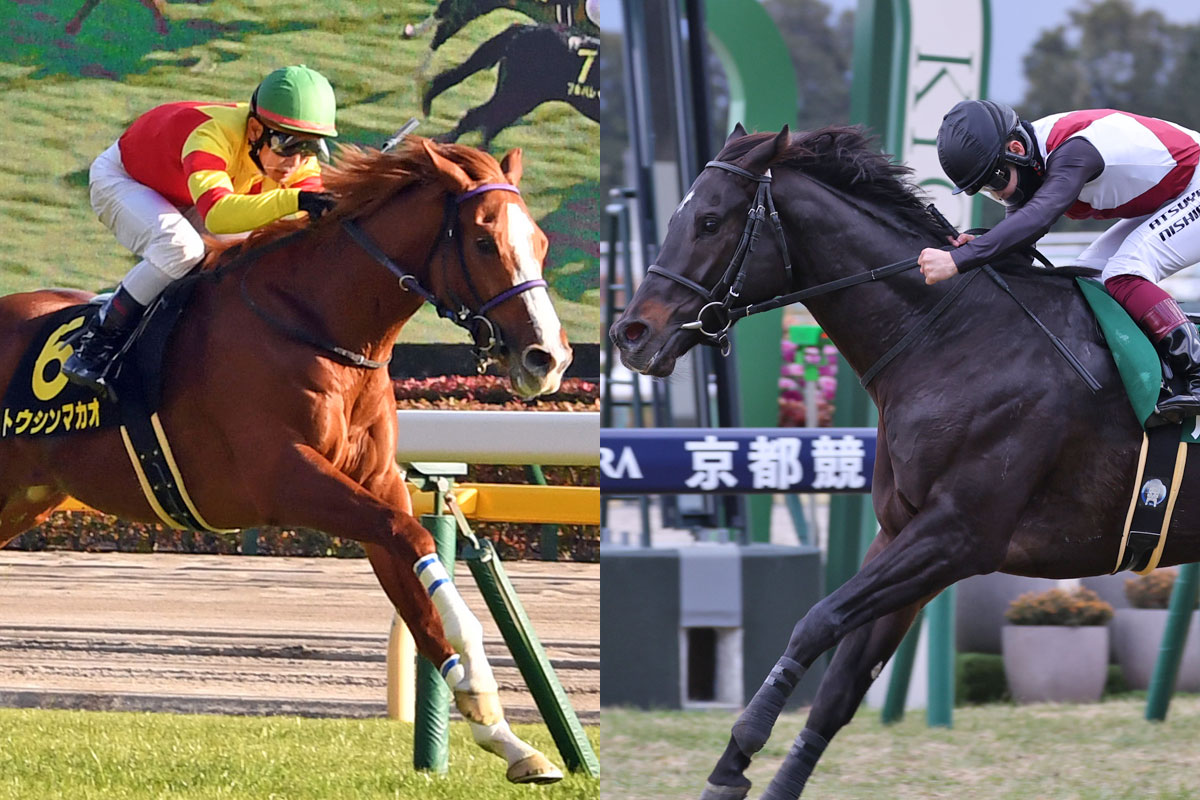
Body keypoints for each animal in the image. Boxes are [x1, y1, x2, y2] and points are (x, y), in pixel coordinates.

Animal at [0, 137, 573, 784]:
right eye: (483, 241)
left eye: (541, 243)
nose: (548, 357)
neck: (318, 324)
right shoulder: (284, 480)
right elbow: (415, 538)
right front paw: (480, 670)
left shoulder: (376, 483)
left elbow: (415, 585)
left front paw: (508, 739)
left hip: (24, 502)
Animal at [610, 124, 1200, 799]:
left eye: (708, 221)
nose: (630, 334)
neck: (954, 337)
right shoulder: (903, 536)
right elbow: (841, 686)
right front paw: (742, 772)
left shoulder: (959, 535)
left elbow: (817, 621)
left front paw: (742, 747)